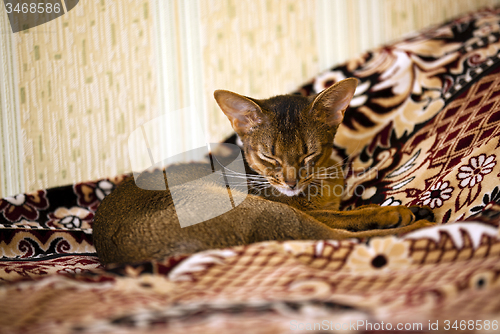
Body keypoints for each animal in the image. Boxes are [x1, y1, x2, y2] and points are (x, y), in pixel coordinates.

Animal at [93, 78, 434, 264]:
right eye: (269, 155)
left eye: (309, 152)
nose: (291, 182)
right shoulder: (297, 207)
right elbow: (342, 216)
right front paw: (386, 211)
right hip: (261, 210)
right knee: (337, 237)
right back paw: (412, 220)